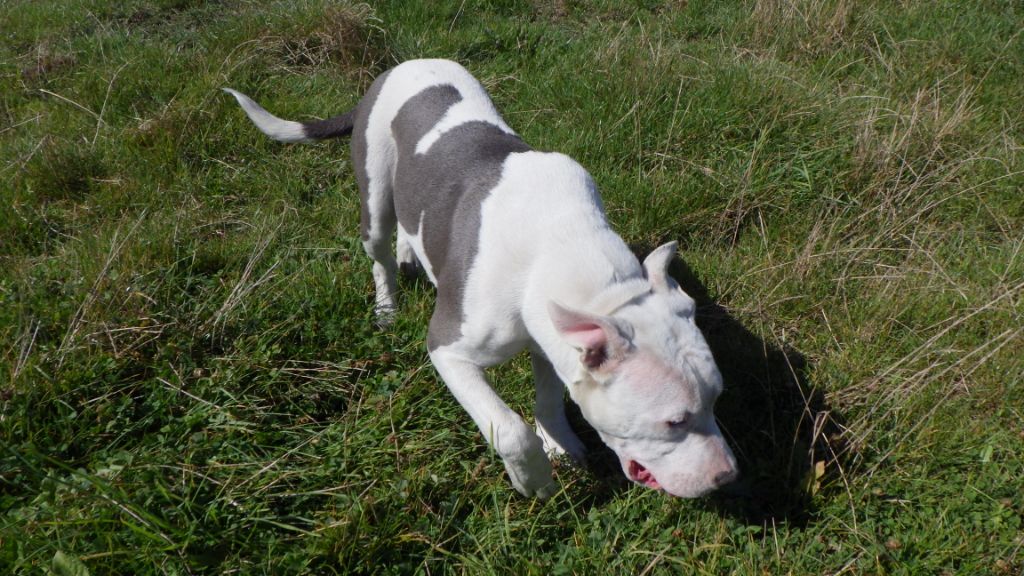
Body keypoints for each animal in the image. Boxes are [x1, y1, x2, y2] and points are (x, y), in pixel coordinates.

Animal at [226, 59, 737, 498]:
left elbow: (549, 399)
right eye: (673, 421)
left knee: (410, 224)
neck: (561, 245)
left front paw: (560, 444)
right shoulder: (449, 350)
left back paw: (412, 253)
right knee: (379, 253)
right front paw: (534, 479)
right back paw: (387, 306)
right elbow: (508, 429)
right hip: (373, 194)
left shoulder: (546, 339)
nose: (727, 476)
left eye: (718, 399)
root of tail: (397, 67)